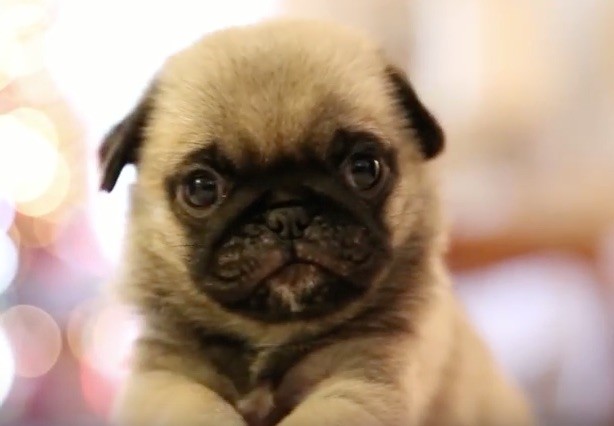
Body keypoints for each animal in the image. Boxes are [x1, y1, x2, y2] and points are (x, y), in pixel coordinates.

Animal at [98, 18, 536, 424]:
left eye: (364, 168)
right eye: (202, 188)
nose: (288, 215)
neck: (272, 334)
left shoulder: (363, 382)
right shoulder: (165, 380)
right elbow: (197, 408)